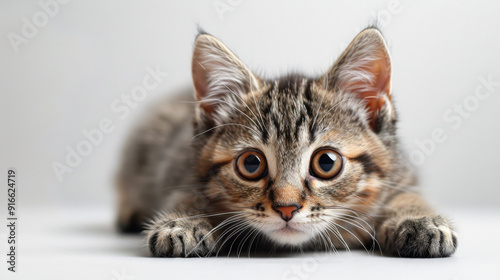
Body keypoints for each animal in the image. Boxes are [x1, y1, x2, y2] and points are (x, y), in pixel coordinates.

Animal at [116, 27, 458, 258]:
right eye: (251, 163)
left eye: (326, 163)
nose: (286, 208)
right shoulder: (182, 168)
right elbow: (186, 195)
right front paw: (182, 221)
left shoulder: (402, 173)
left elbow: (405, 195)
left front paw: (418, 218)